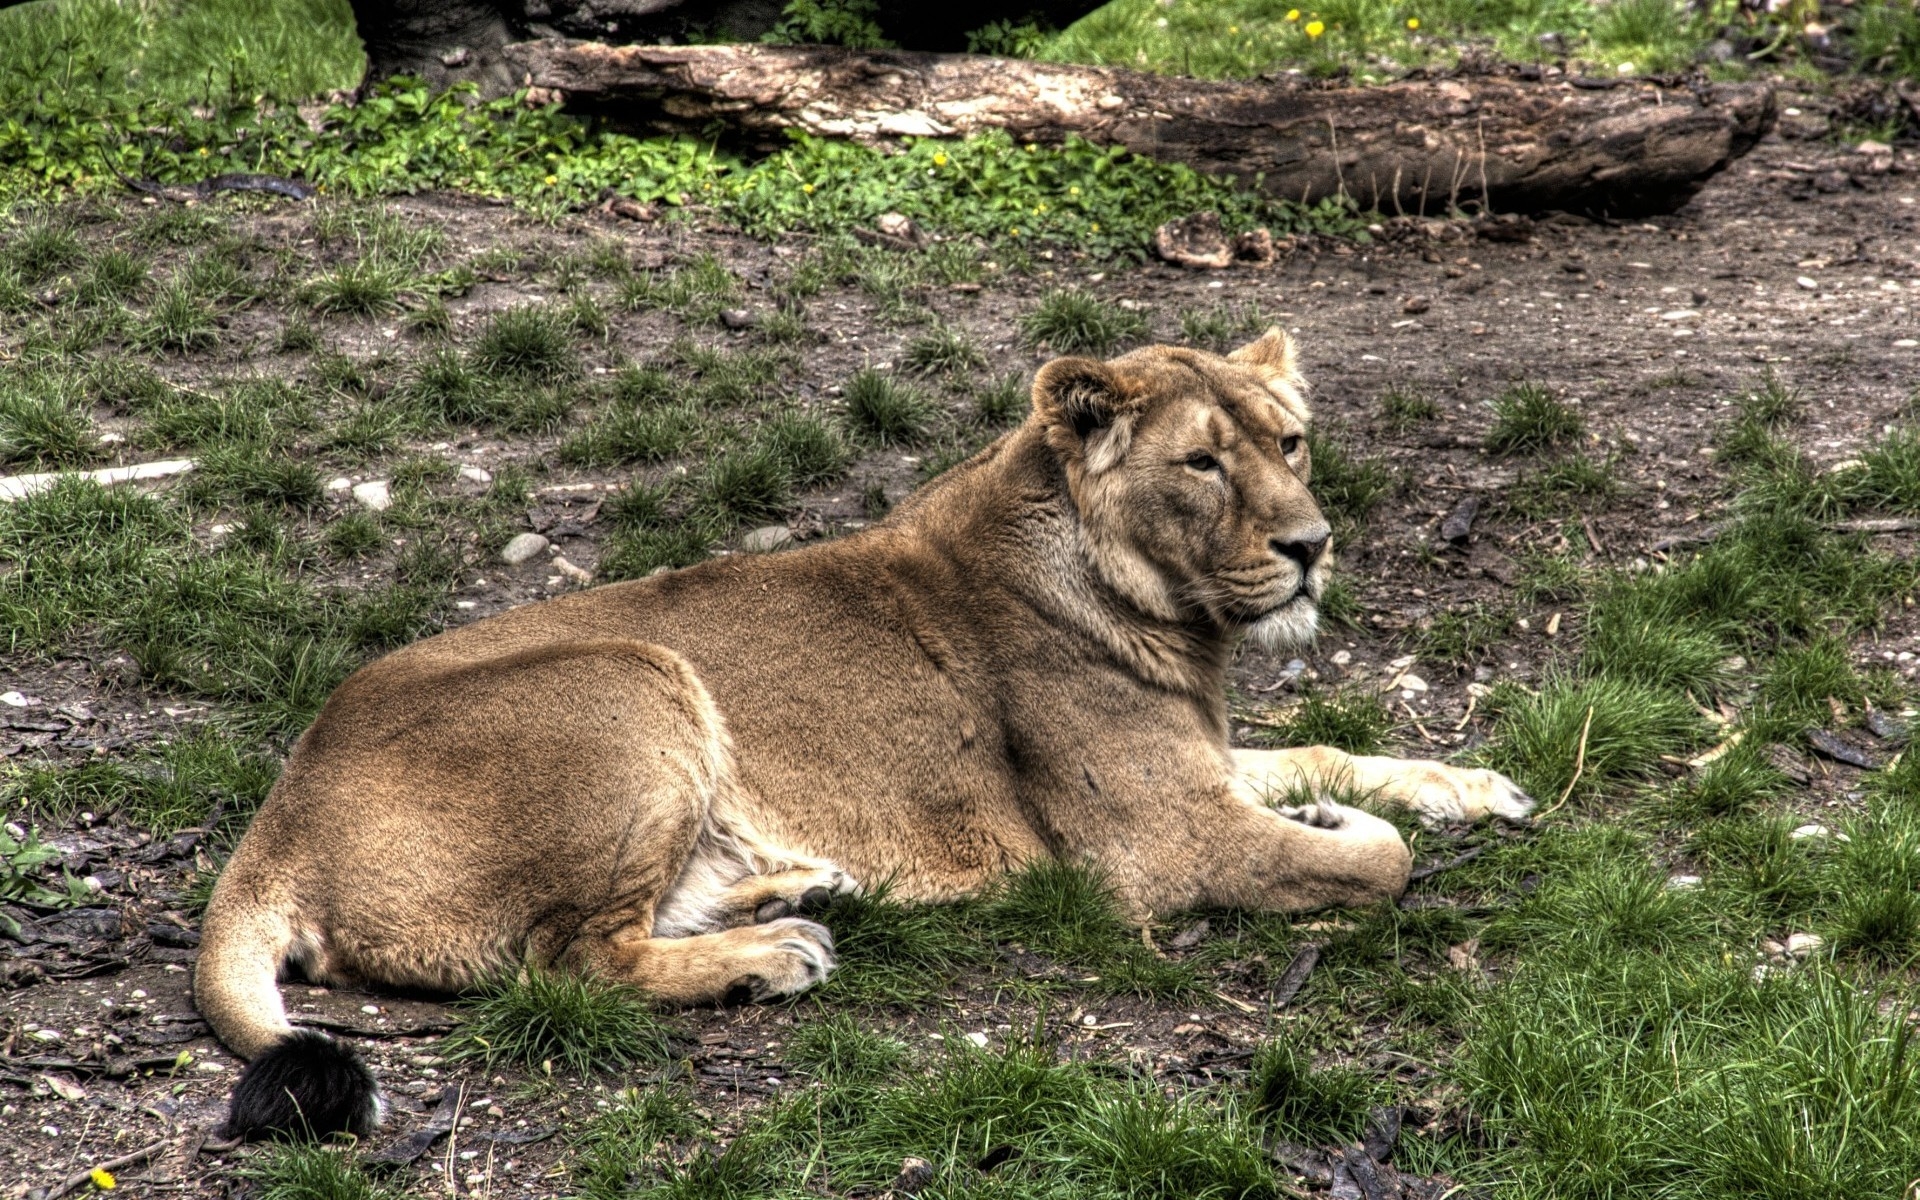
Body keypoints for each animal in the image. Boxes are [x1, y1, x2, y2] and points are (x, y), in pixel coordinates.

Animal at [194, 329, 1531, 1139]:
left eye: (1289, 442)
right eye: (1203, 463)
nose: (1313, 544)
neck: (1174, 617)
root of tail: (281, 811)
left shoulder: (1201, 765)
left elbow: (1325, 748)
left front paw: (1470, 784)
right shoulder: (1163, 843)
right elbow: (1373, 862)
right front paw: (1351, 824)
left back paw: (798, 889)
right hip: (636, 674)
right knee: (566, 960)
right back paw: (779, 951)